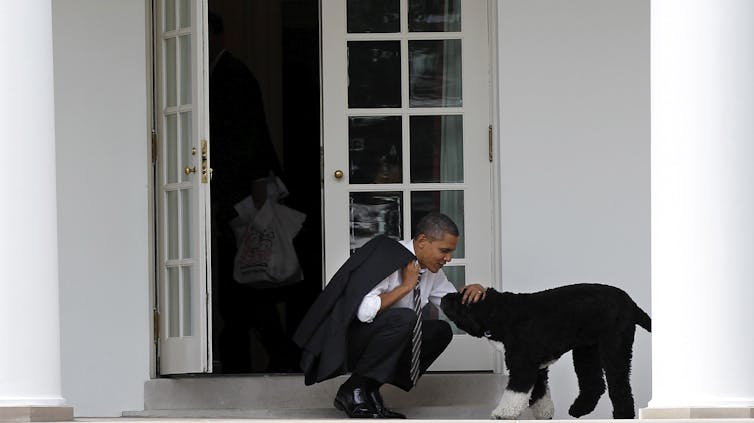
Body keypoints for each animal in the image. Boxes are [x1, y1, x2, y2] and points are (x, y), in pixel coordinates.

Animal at [440, 284, 648, 420]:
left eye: (460, 298)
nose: (442, 298)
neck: (501, 312)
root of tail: (632, 303)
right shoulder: (536, 368)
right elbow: (539, 393)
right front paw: (544, 413)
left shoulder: (523, 365)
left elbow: (514, 393)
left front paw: (503, 413)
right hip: (586, 351)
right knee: (594, 384)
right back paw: (579, 410)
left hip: (616, 348)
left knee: (620, 387)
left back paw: (623, 415)